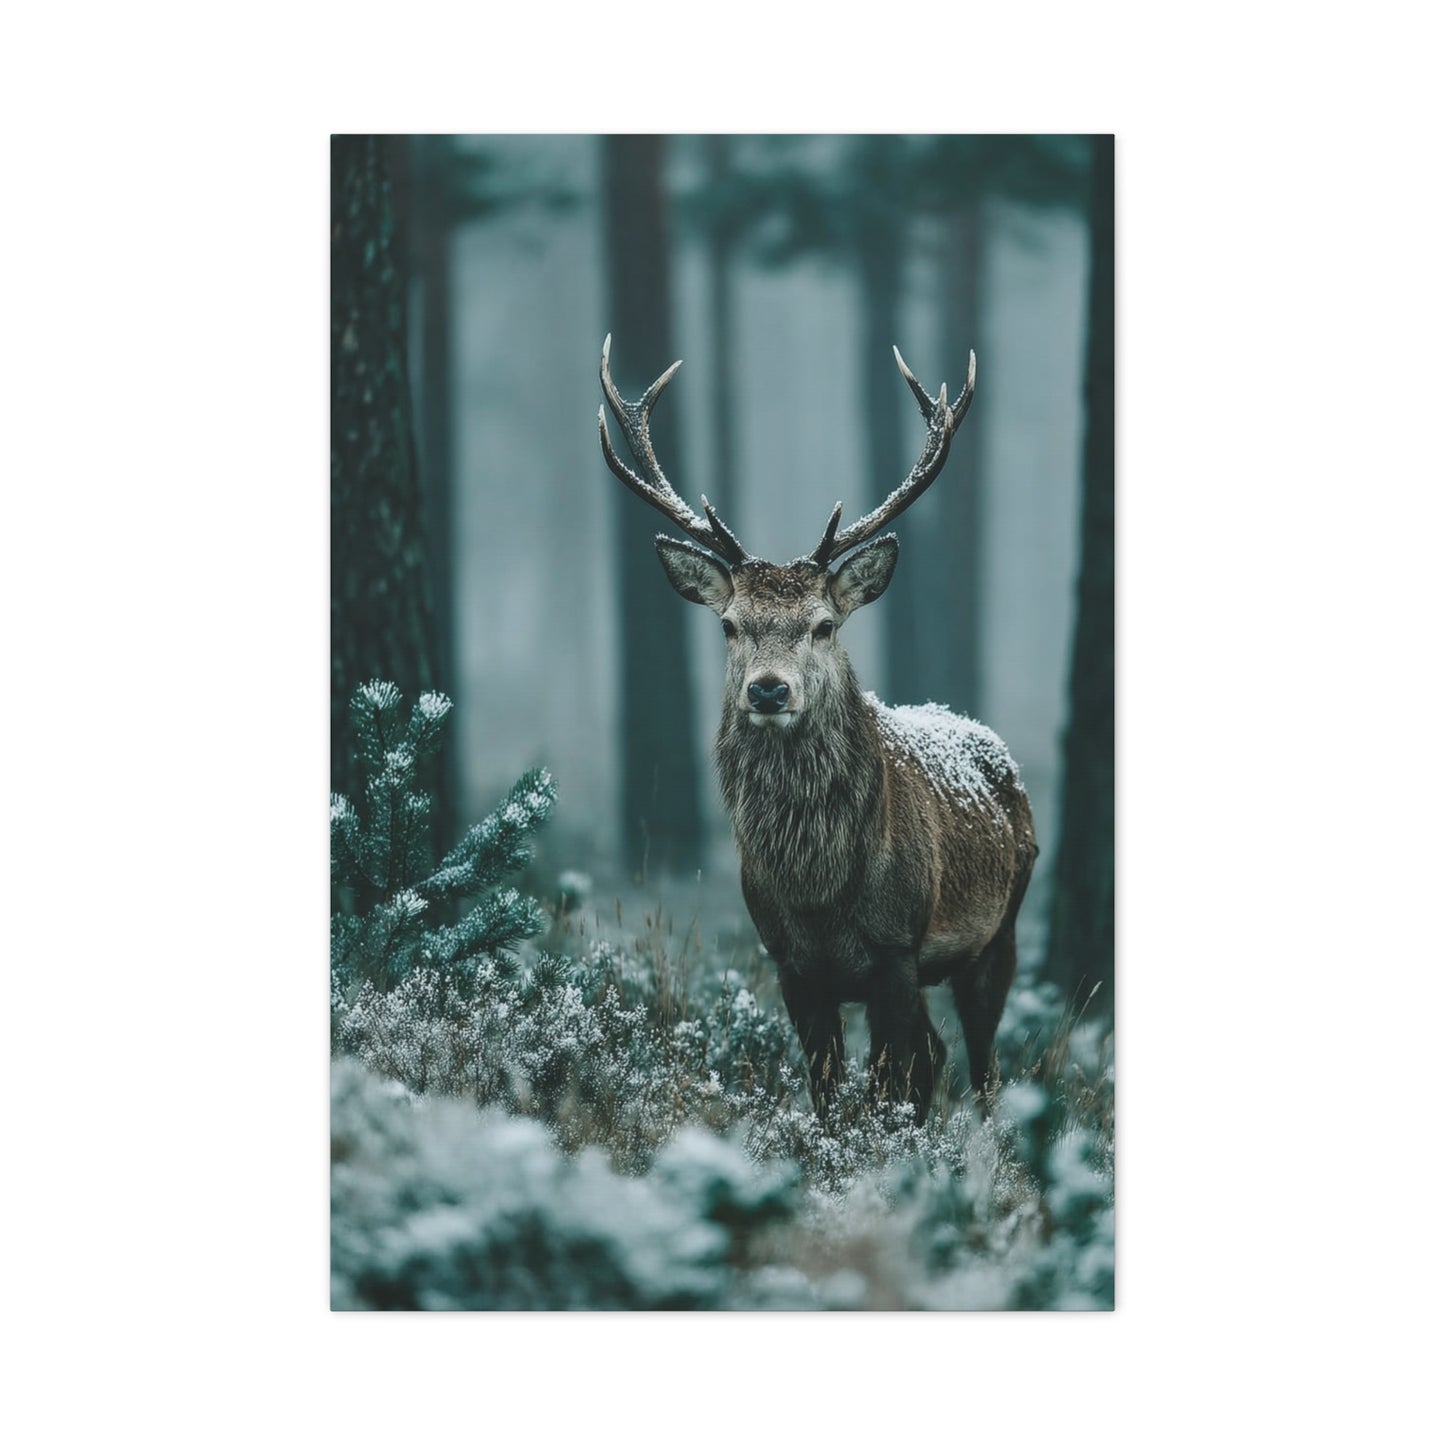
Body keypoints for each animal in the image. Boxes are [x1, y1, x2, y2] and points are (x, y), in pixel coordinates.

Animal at [597, 335, 1038, 1125]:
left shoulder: (896, 947)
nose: (769, 688)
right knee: (937, 1054)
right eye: (729, 624)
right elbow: (828, 1088)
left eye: (824, 624)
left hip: (1000, 930)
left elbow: (890, 1082)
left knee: (982, 1066)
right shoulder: (789, 962)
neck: (819, 890)